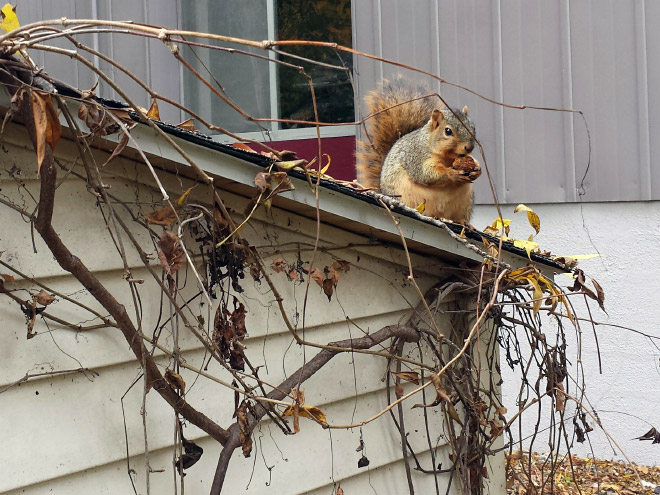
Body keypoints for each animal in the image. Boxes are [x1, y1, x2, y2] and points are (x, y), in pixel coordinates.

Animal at [356, 79, 480, 223]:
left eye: (473, 127)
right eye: (448, 131)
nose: (469, 147)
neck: (448, 157)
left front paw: (478, 169)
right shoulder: (416, 157)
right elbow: (425, 174)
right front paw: (451, 173)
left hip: (466, 203)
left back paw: (465, 223)